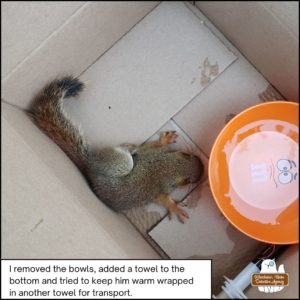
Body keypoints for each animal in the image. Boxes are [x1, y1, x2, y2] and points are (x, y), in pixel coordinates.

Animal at [29, 75, 204, 223]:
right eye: (187, 181)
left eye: (187, 154)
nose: (202, 167)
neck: (167, 166)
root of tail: (89, 167)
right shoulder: (159, 191)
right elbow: (164, 200)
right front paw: (175, 207)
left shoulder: (152, 152)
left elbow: (154, 145)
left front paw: (166, 139)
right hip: (122, 164)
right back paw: (126, 147)